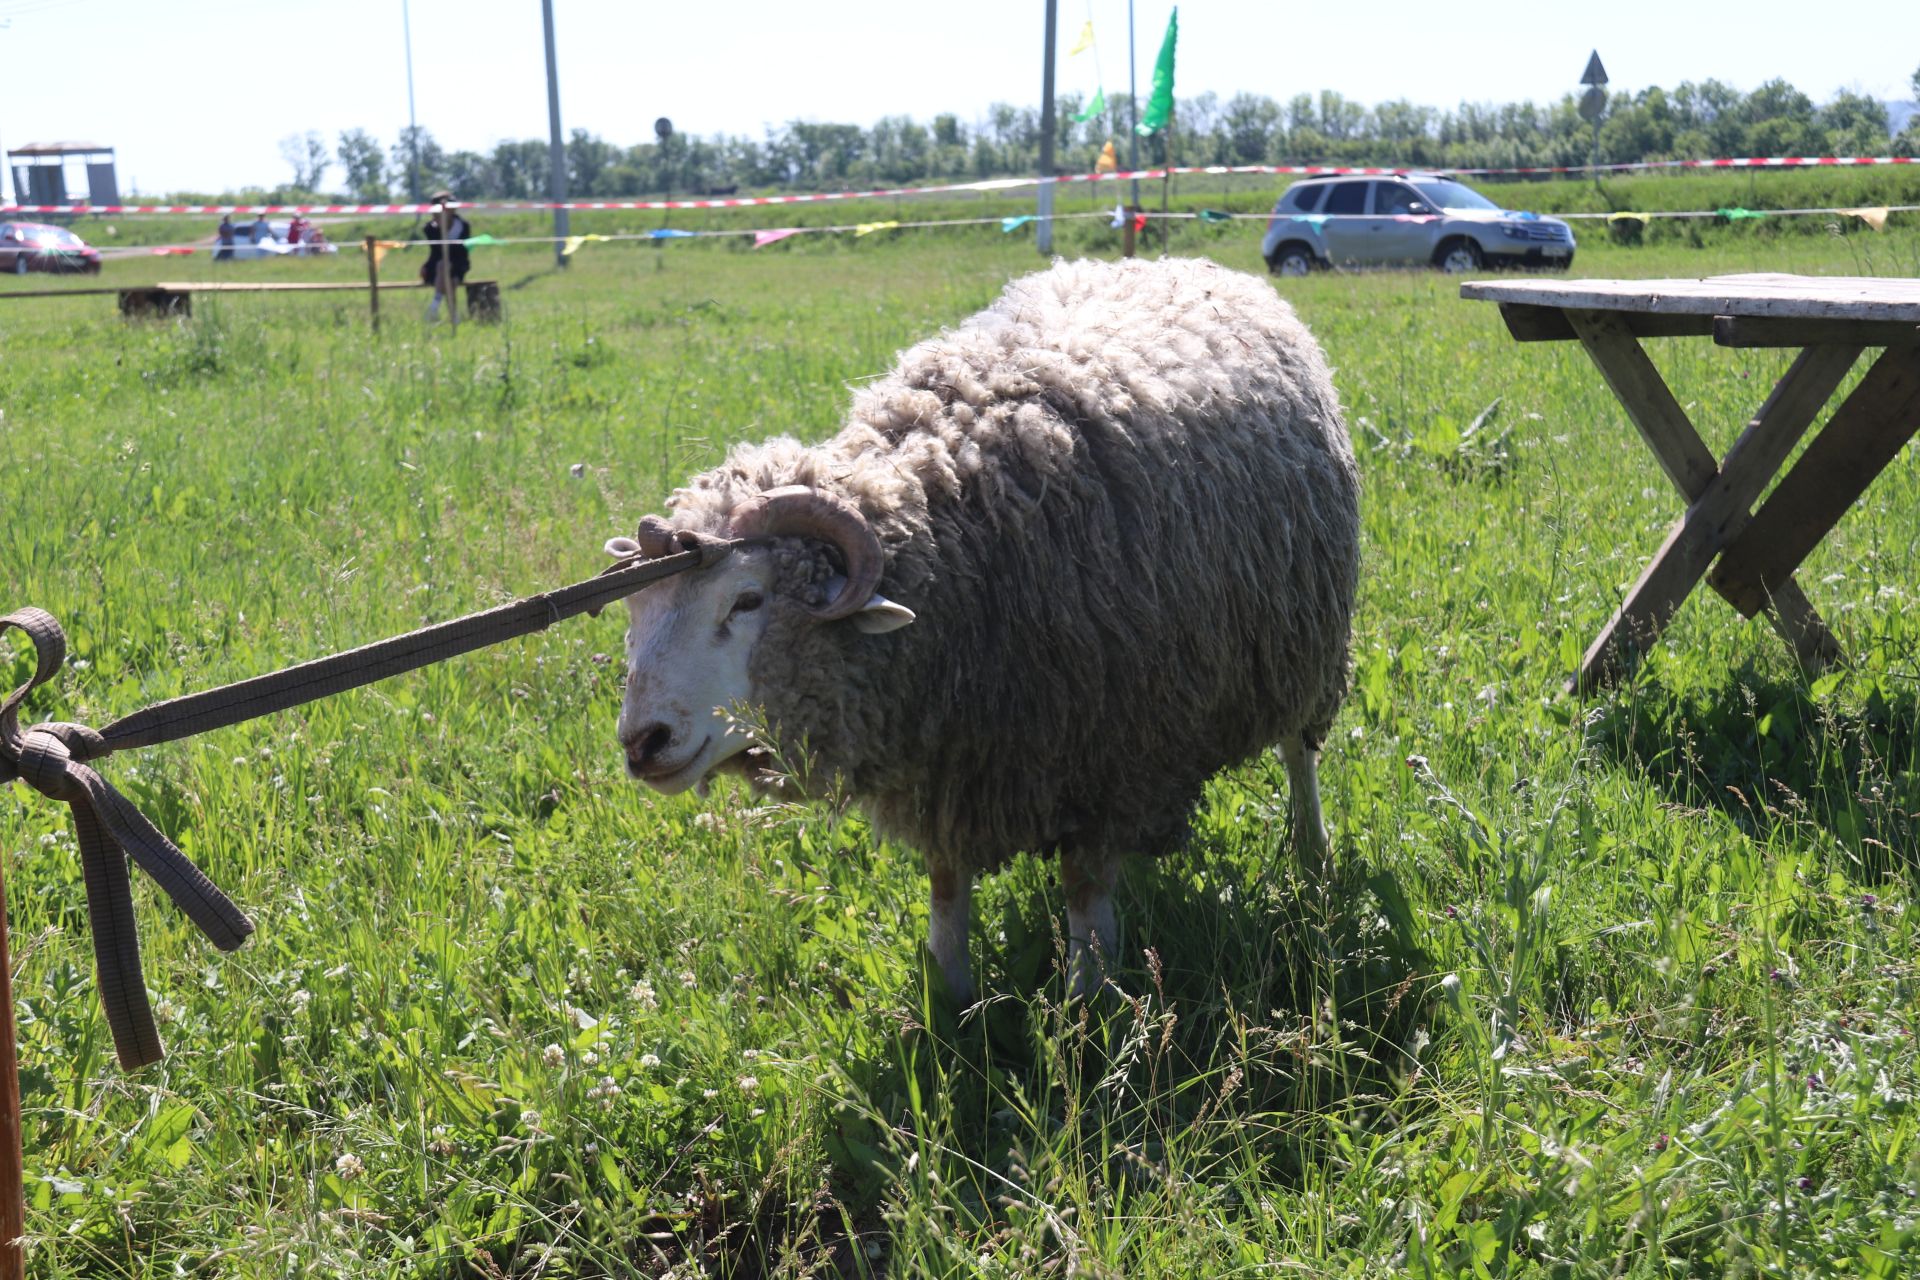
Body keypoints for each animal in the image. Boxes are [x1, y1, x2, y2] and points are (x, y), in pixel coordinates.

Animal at [606, 255, 1359, 997]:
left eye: (748, 600)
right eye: (636, 613)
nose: (643, 743)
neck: (958, 538)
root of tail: (1180, 261)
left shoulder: (1108, 755)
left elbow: (1084, 888)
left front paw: (1089, 1002)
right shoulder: (950, 759)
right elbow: (947, 885)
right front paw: (949, 994)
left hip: (1305, 641)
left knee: (1299, 753)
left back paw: (1313, 856)